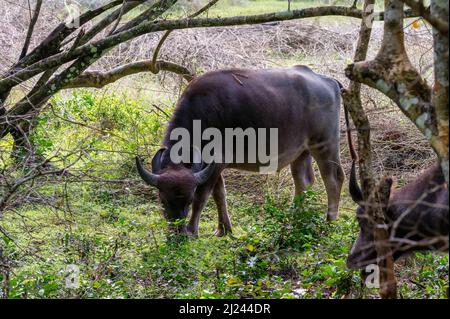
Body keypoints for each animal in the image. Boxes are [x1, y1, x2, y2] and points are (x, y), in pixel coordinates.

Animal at [135, 65, 346, 236]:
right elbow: (219, 195)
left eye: (187, 200)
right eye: (163, 201)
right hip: (302, 152)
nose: (176, 231)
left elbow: (202, 198)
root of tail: (327, 80)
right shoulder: (211, 167)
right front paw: (224, 229)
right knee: (303, 182)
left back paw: (329, 221)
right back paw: (296, 219)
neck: (202, 115)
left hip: (325, 144)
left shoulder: (215, 164)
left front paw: (192, 230)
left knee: (333, 178)